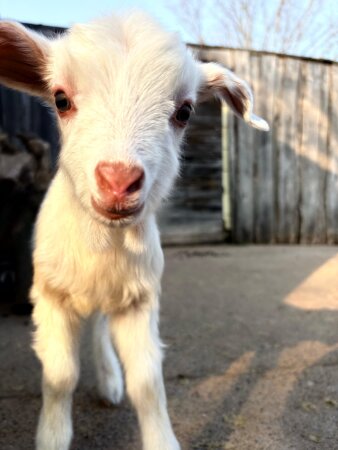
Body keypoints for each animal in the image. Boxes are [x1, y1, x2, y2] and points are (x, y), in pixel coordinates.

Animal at [0, 11, 270, 450]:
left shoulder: (139, 299)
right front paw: (53, 436)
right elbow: (60, 377)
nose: (118, 180)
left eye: (185, 112)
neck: (103, 241)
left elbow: (146, 384)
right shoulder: (50, 294)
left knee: (99, 330)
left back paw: (110, 381)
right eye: (61, 99)